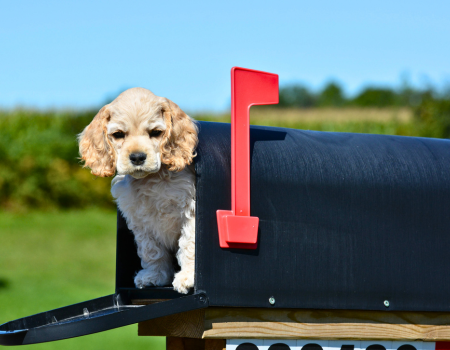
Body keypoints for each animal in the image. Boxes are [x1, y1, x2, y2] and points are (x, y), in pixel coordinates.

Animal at [78, 87, 197, 292]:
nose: (137, 157)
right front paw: (154, 276)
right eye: (118, 134)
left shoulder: (190, 210)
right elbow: (152, 250)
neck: (151, 179)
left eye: (156, 132)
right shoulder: (140, 221)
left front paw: (188, 277)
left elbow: (189, 243)